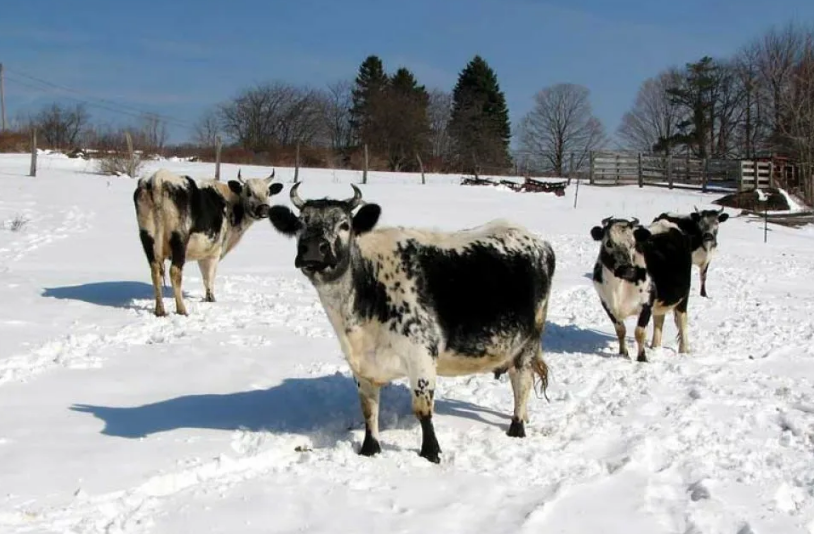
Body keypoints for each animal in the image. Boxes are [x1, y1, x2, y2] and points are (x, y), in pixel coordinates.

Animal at [134, 170, 284, 316]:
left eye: (268, 192)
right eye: (249, 192)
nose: (264, 209)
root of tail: (157, 178)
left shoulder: (203, 253)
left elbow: (205, 277)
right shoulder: (213, 253)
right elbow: (209, 278)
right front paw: (211, 299)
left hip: (147, 237)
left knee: (155, 270)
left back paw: (160, 310)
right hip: (179, 239)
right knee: (175, 272)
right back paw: (181, 309)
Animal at [266, 184, 556, 464]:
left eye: (344, 224)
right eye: (301, 223)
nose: (314, 248)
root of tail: (534, 238)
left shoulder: (421, 355)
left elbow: (423, 411)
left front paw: (431, 452)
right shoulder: (362, 367)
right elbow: (369, 409)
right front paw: (370, 448)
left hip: (529, 341)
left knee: (521, 383)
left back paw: (517, 427)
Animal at [592, 218, 696, 364]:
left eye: (633, 244)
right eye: (608, 243)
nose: (627, 270)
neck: (618, 287)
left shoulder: (646, 303)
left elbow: (639, 333)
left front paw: (642, 358)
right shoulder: (607, 304)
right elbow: (620, 330)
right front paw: (623, 353)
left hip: (683, 297)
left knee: (682, 321)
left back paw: (683, 350)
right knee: (659, 320)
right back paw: (655, 346)